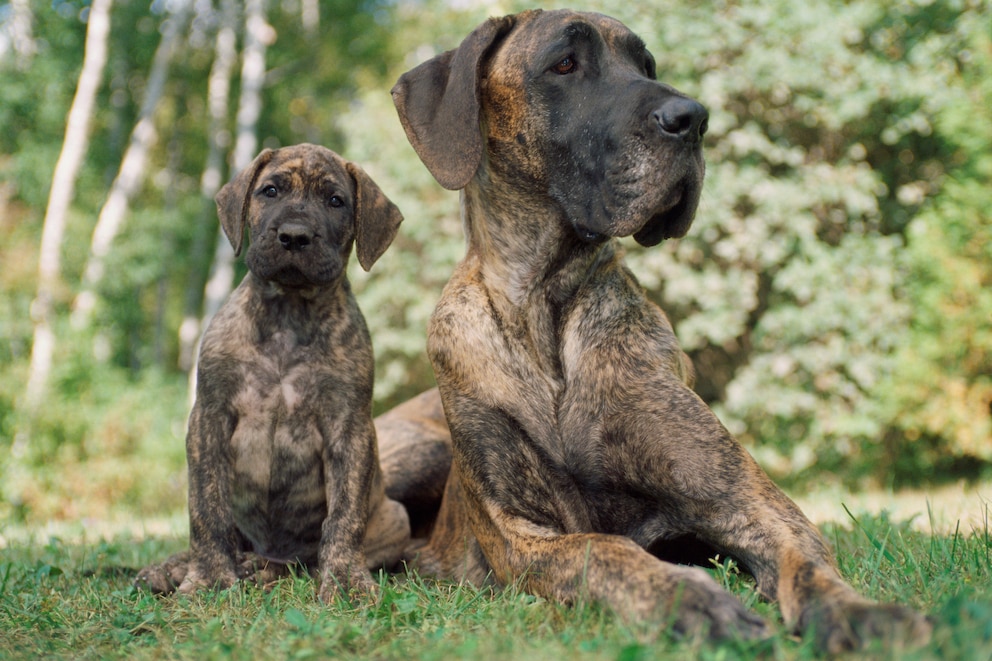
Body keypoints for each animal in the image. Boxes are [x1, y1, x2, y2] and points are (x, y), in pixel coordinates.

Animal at [136, 146, 406, 604]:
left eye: (336, 201)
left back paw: (263, 569)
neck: (288, 315)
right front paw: (209, 577)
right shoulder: (209, 417)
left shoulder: (350, 427)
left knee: (298, 562)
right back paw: (175, 568)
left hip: (396, 515)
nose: (295, 236)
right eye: (271, 191)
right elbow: (206, 508)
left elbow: (346, 514)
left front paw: (346, 580)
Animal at [380, 9, 928, 648]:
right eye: (564, 64)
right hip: (415, 453)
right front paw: (689, 600)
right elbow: (601, 549)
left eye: (646, 66)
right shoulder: (517, 532)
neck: (547, 310)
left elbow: (807, 563)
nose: (693, 118)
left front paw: (858, 613)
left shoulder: (747, 501)